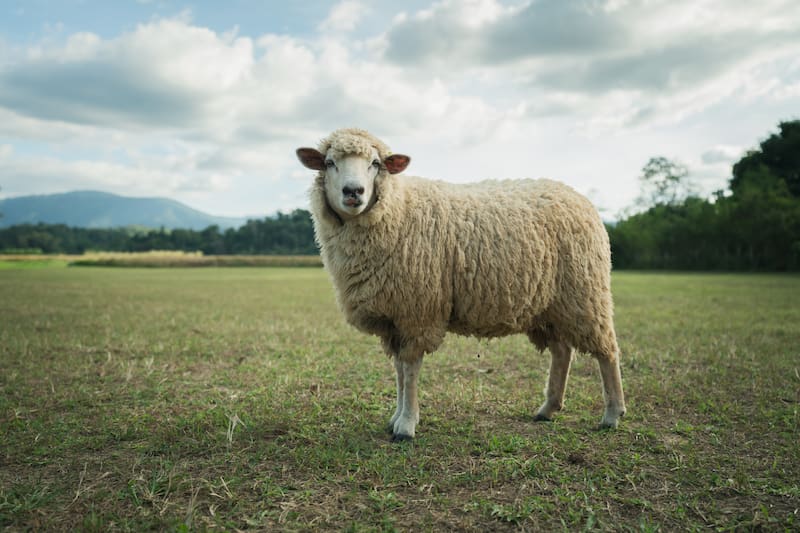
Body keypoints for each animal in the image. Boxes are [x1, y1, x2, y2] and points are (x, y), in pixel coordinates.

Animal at [296, 128, 626, 441]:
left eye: (376, 164)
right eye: (330, 162)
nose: (354, 192)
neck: (397, 209)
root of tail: (579, 197)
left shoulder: (418, 310)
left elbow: (410, 368)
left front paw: (406, 425)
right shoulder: (395, 316)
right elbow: (399, 371)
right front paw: (396, 418)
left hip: (585, 292)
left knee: (607, 351)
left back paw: (612, 414)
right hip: (551, 304)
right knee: (562, 351)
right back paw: (548, 409)